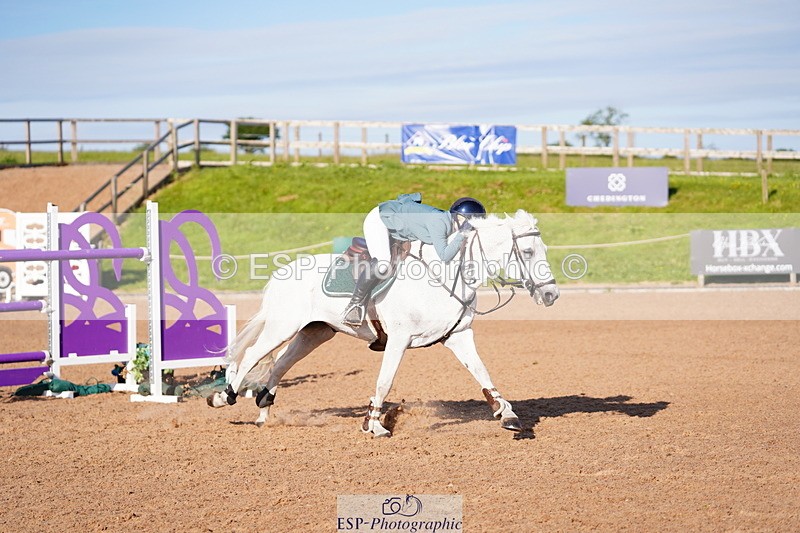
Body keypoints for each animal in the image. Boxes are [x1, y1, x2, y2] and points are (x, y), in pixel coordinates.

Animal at [207, 209, 560, 437]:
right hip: (284, 326)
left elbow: (483, 373)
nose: (552, 294)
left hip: (315, 332)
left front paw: (507, 414)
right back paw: (224, 397)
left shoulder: (459, 335)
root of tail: (281, 272)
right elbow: (384, 381)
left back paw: (264, 410)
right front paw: (374, 424)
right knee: (251, 356)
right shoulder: (399, 339)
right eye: (528, 252)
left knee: (279, 364)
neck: (446, 275)